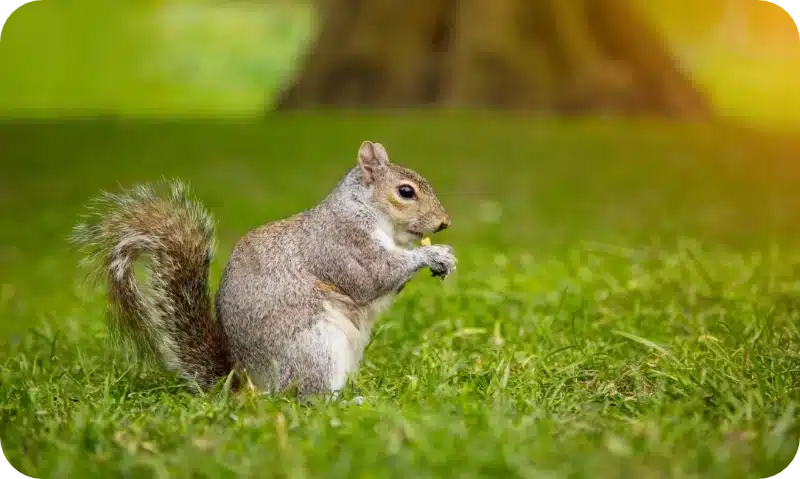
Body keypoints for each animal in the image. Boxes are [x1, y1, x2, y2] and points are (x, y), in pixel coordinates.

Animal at [71, 141, 457, 396]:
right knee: (307, 397)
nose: (444, 223)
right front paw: (432, 255)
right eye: (405, 192)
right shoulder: (343, 244)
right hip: (314, 348)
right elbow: (373, 276)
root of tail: (246, 382)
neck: (366, 209)